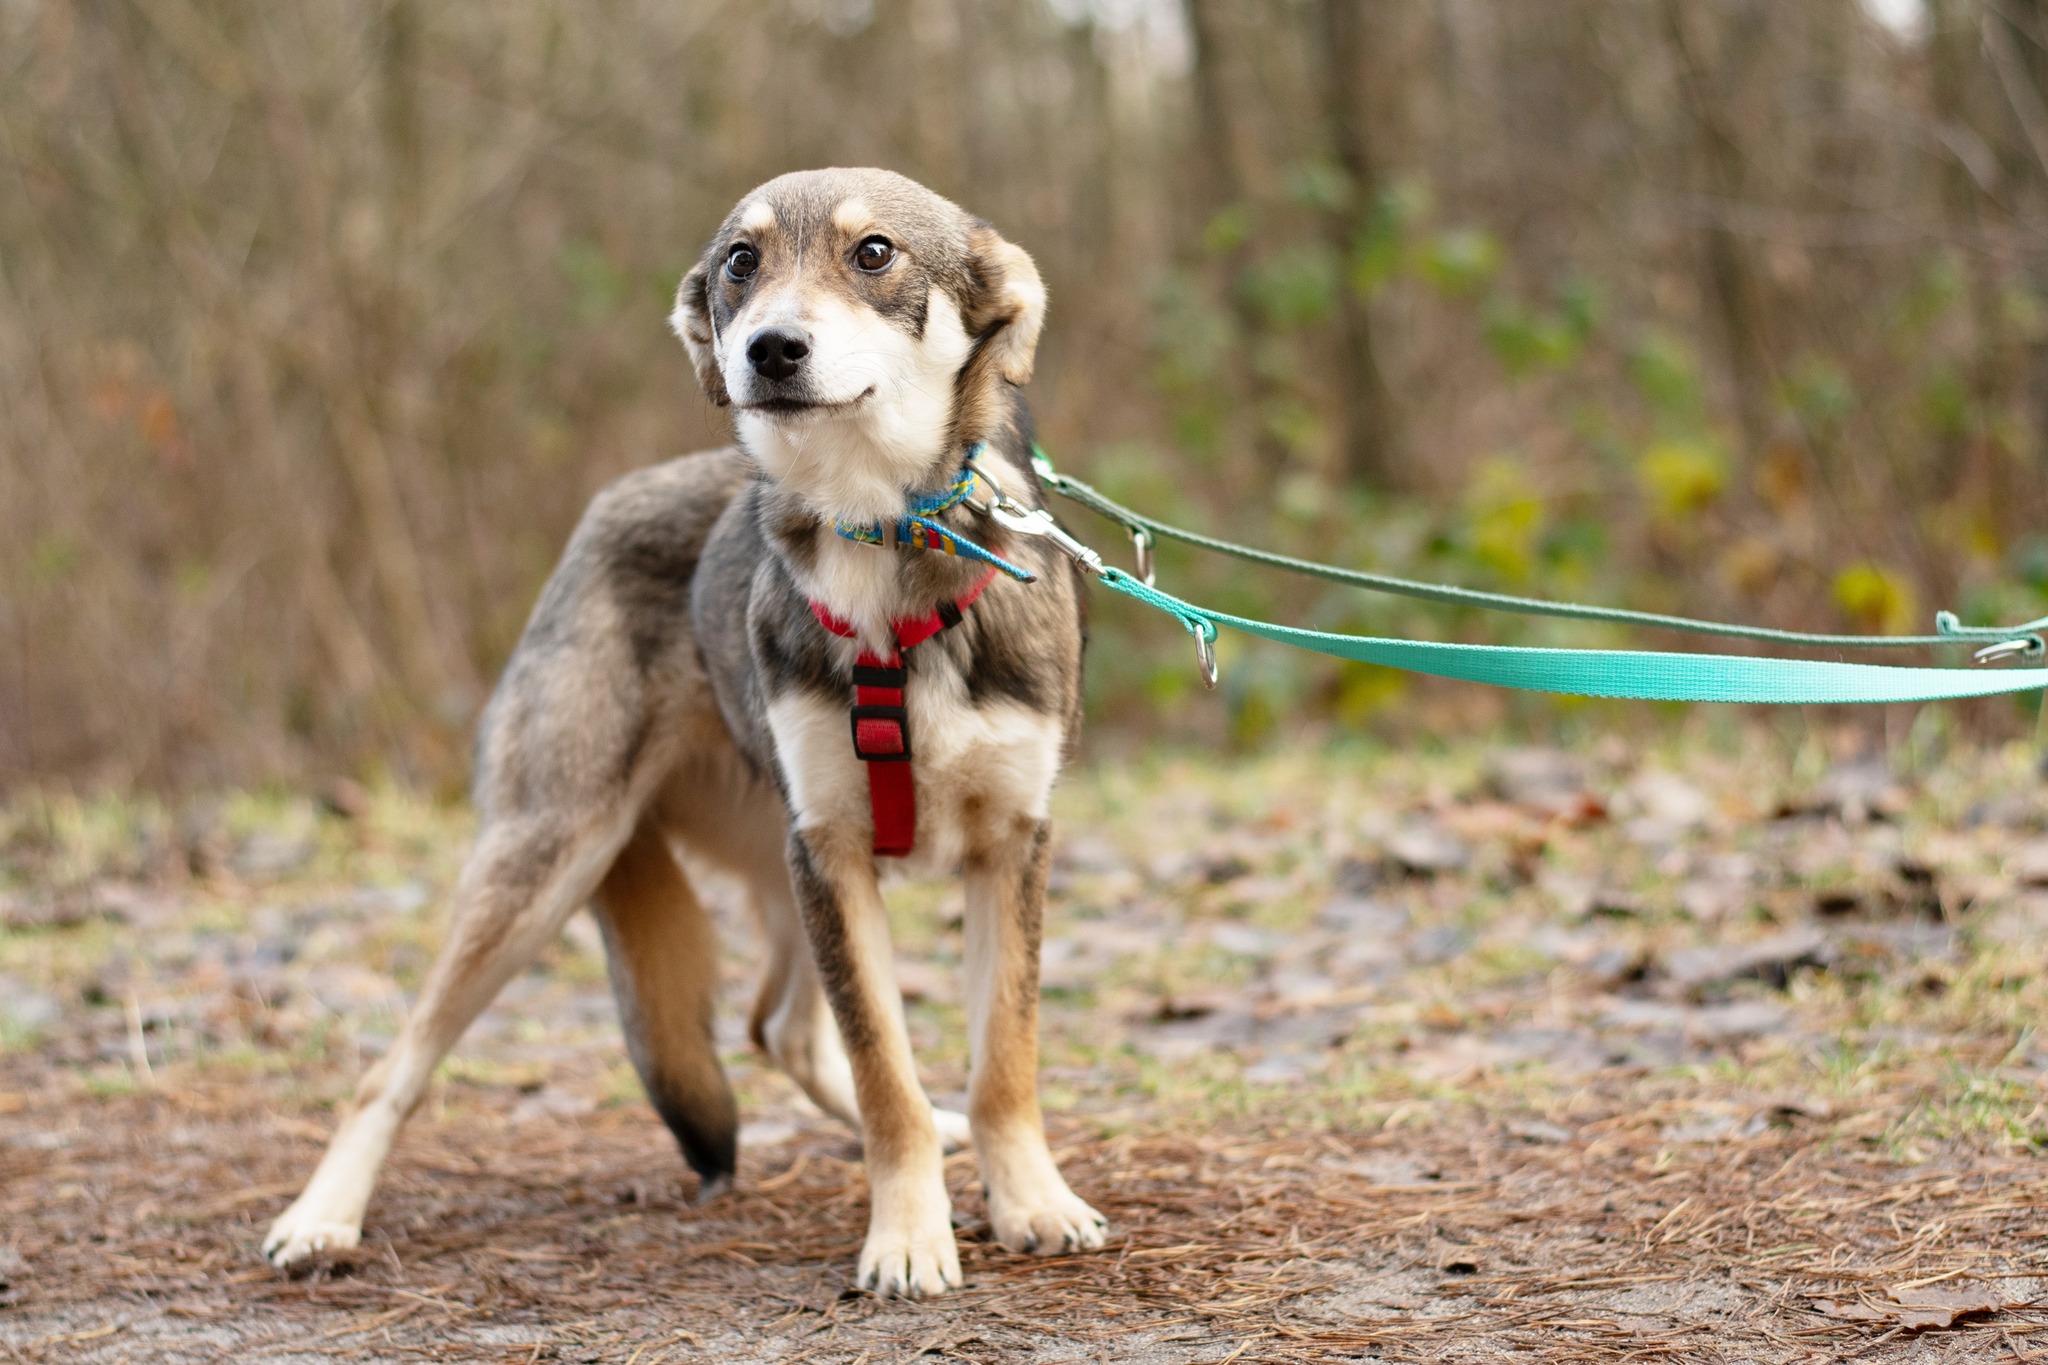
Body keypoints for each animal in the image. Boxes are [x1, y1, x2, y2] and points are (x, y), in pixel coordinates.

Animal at [270, 165, 1114, 1301]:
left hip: (771, 865)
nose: (769, 350)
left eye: (874, 254)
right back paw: (321, 1219)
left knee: (780, 1028)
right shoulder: (832, 852)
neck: (883, 544)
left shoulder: (1006, 843)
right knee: (392, 1065)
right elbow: (884, 1071)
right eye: (740, 265)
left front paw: (1028, 1198)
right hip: (554, 859)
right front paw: (905, 1237)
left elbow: (1002, 1059)